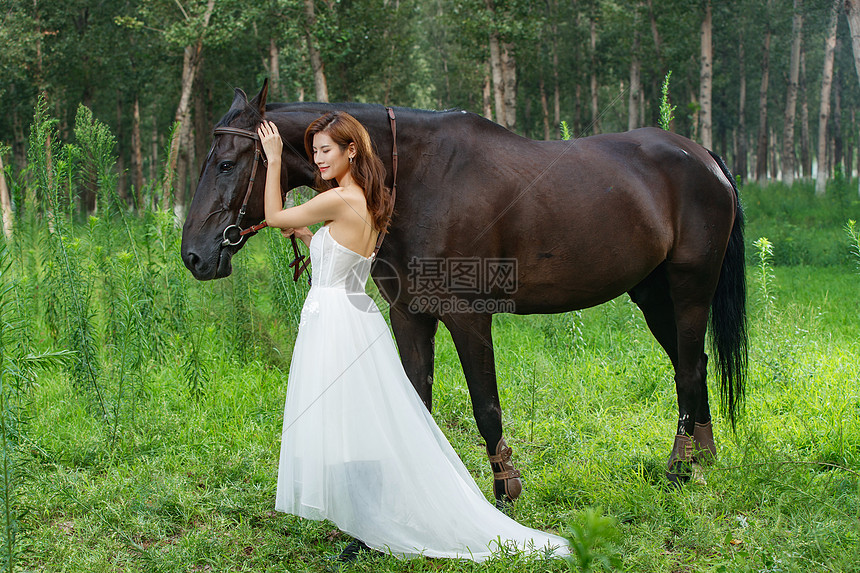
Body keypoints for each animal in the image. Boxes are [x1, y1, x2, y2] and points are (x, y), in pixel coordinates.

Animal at [180, 82, 744, 502]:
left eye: (227, 163)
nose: (194, 256)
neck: (415, 178)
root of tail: (702, 157)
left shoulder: (468, 316)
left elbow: (486, 407)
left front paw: (504, 491)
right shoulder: (409, 314)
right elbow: (416, 400)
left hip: (689, 290)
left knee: (689, 367)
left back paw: (680, 470)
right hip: (652, 296)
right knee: (689, 365)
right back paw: (701, 457)